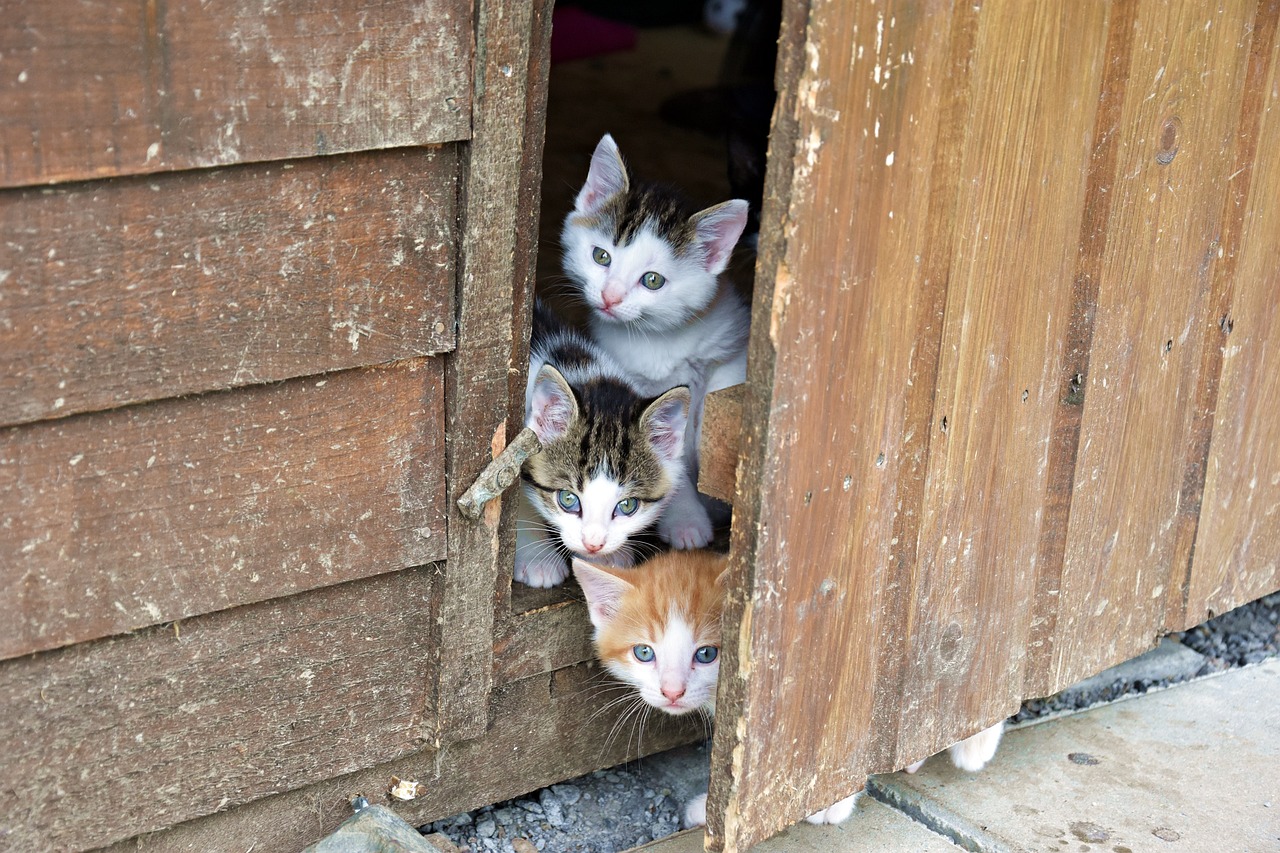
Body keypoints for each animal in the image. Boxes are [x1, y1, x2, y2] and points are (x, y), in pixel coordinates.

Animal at [560, 133, 747, 545]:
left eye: (652, 280)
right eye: (601, 257)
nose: (610, 297)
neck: (658, 338)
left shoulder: (729, 348)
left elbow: (719, 405)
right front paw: (687, 521)